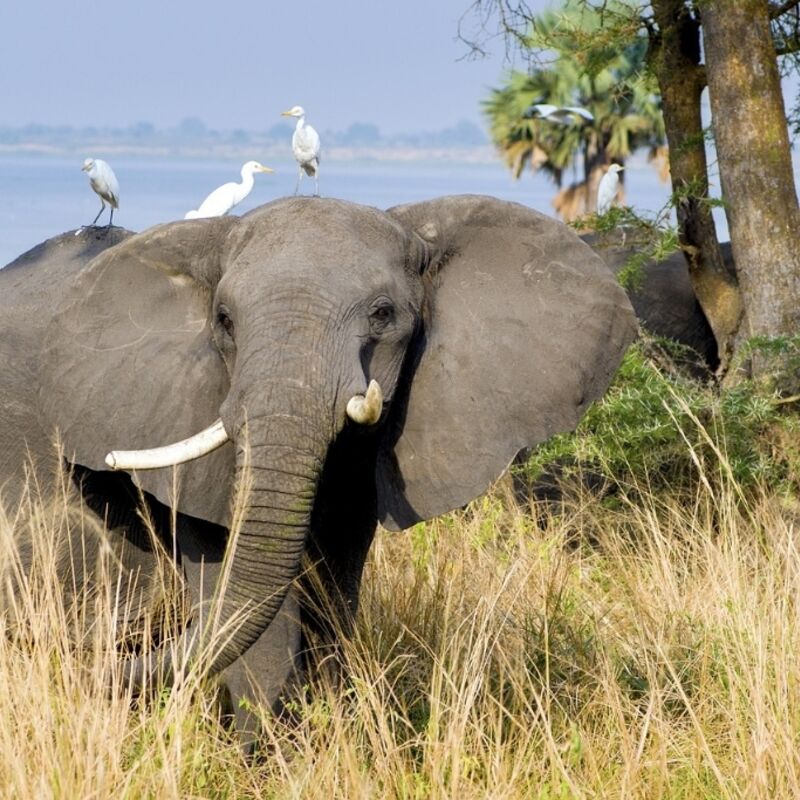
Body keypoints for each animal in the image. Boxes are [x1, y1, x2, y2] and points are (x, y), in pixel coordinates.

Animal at [0, 195, 636, 744]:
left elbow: (333, 598)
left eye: (383, 314)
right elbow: (252, 609)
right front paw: (268, 763)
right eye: (224, 320)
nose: (88, 664)